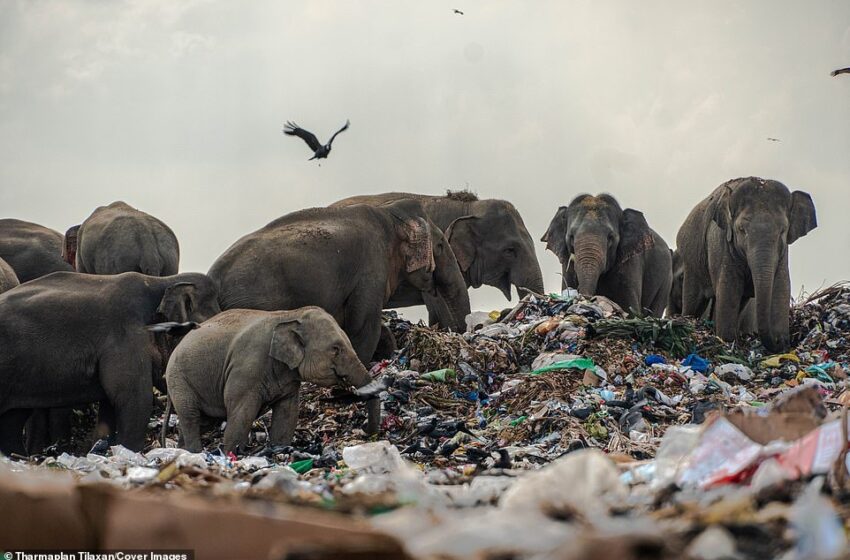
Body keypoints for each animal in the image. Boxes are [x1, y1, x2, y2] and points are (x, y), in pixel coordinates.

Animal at [0, 271, 220, 455]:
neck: (160, 281)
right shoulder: (125, 337)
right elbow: (135, 400)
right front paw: (129, 453)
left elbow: (111, 406)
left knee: (13, 420)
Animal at [166, 307, 380, 453]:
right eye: (335, 349)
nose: (365, 430)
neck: (289, 315)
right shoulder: (246, 368)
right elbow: (241, 412)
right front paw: (232, 454)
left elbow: (287, 412)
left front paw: (279, 449)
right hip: (179, 379)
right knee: (191, 416)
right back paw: (195, 453)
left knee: (201, 420)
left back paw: (182, 451)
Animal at [542, 194, 672, 317]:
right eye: (571, 236)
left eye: (610, 237)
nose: (586, 299)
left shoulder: (630, 264)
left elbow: (630, 309)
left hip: (666, 281)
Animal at [676, 177, 816, 351]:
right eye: (742, 230)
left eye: (783, 231)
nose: (779, 342)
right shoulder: (723, 247)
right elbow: (729, 289)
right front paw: (727, 342)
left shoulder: (783, 253)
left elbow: (781, 287)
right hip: (692, 262)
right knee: (693, 301)